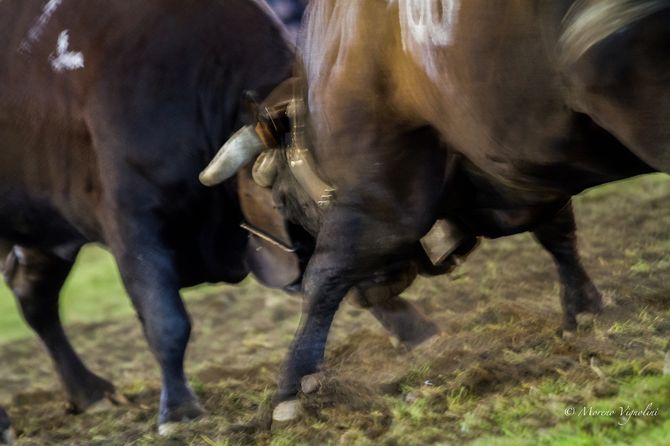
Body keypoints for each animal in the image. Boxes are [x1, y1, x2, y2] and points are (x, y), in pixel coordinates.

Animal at [203, 0, 670, 422]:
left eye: (284, 199)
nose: (366, 296)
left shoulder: (379, 201)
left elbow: (324, 276)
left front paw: (293, 387)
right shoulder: (527, 169)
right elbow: (558, 233)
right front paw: (583, 309)